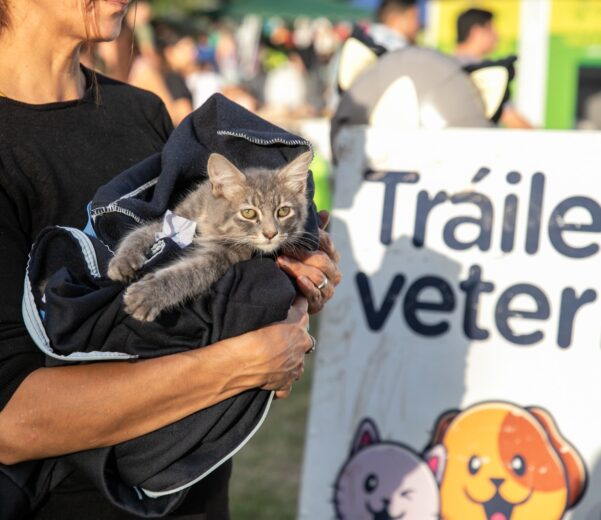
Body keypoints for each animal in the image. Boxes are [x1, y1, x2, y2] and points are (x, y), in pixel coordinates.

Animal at [107, 151, 313, 322]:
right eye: (249, 213)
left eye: (283, 211)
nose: (271, 233)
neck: (209, 221)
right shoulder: (174, 218)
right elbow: (139, 233)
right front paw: (123, 260)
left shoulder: (220, 256)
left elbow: (188, 274)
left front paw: (148, 294)